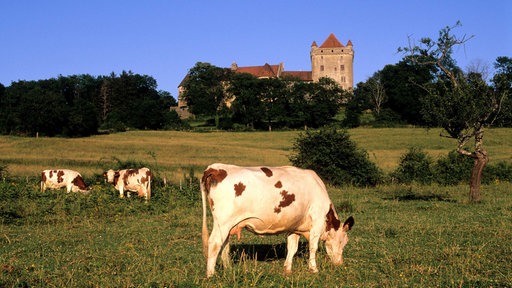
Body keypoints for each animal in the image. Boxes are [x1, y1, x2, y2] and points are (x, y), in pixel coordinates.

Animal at [201, 163, 356, 278]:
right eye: (344, 241)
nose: (339, 264)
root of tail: (215, 168)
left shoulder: (295, 227)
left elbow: (292, 248)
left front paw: (287, 269)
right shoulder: (317, 222)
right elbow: (313, 247)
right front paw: (314, 269)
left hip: (227, 225)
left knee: (224, 245)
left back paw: (228, 269)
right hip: (223, 222)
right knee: (214, 243)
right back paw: (211, 275)